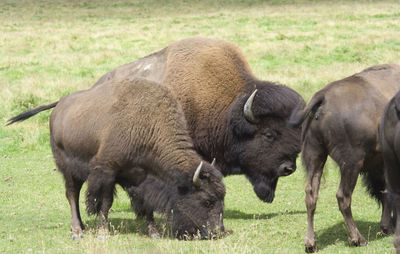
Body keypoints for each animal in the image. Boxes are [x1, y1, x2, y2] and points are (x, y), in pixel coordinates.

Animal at [7, 77, 225, 240]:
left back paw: (82, 227)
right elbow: (105, 202)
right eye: (207, 200)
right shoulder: (107, 172)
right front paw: (103, 233)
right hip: (67, 168)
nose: (217, 232)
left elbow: (146, 204)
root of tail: (60, 103)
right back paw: (77, 231)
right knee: (72, 195)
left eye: (222, 198)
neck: (148, 126)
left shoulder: (140, 178)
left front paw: (154, 232)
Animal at [290, 64, 400, 252]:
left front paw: (386, 227)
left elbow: (385, 192)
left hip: (315, 156)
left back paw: (311, 243)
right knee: (343, 196)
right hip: (351, 164)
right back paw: (358, 239)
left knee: (311, 195)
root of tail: (323, 96)